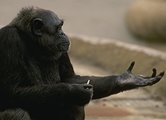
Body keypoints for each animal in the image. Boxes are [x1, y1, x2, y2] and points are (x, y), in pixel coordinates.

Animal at [0, 7, 164, 120]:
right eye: (58, 28)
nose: (63, 33)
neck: (34, 44)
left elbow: (69, 78)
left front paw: (125, 80)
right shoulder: (9, 39)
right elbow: (12, 91)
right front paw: (73, 91)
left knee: (74, 106)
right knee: (15, 112)